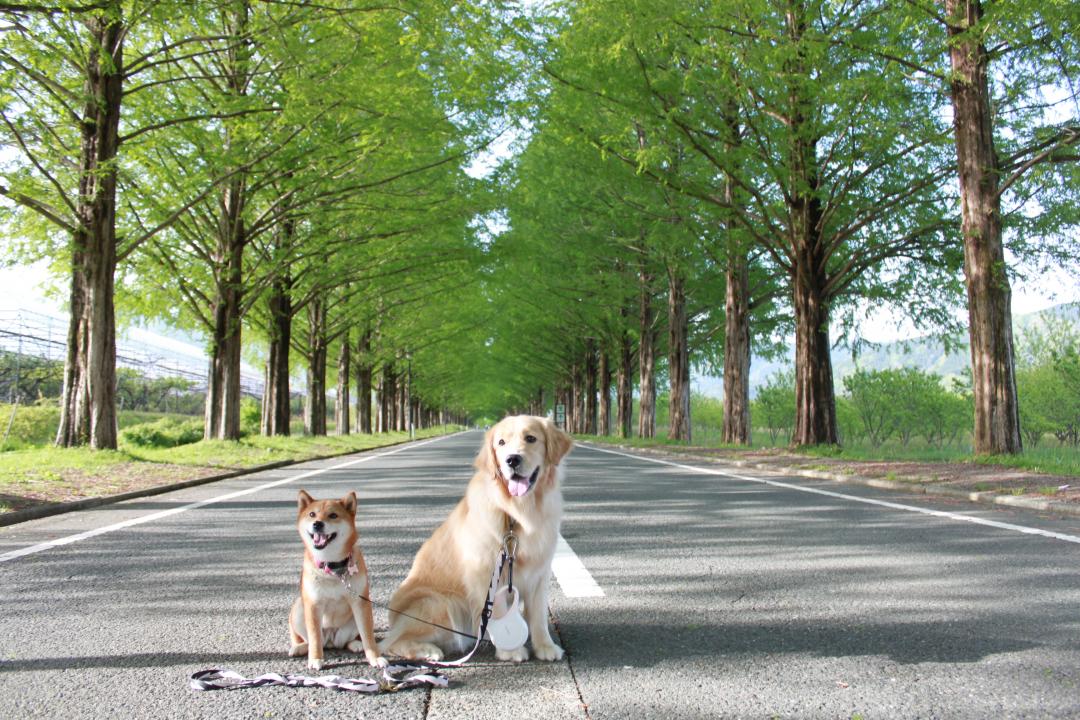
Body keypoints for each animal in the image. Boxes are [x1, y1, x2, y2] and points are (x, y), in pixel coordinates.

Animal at [291, 490, 384, 669]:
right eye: (312, 514)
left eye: (333, 515)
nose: (317, 524)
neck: (332, 567)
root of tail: (330, 641)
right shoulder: (313, 604)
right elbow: (314, 637)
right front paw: (315, 659)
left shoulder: (360, 602)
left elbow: (368, 635)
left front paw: (375, 657)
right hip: (298, 608)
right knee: (309, 639)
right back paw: (299, 648)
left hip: (355, 618)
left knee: (349, 640)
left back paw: (356, 644)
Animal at [386, 416, 578, 664]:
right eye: (501, 442)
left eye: (531, 438)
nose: (512, 459)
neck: (517, 514)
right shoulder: (486, 572)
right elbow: (498, 611)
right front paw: (510, 651)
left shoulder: (540, 572)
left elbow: (538, 616)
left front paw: (545, 646)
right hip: (440, 603)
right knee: (390, 644)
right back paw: (428, 651)